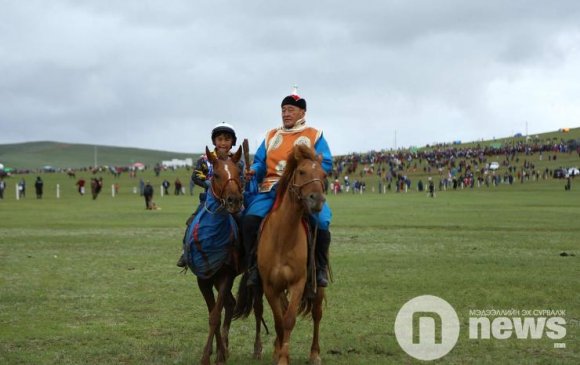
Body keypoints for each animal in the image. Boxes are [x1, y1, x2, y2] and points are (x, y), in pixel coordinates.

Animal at [182, 146, 244, 364]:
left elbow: (215, 315)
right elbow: (212, 314)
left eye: (239, 173)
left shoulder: (226, 275)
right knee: (230, 303)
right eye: (215, 174)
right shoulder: (203, 278)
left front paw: (214, 356)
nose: (234, 201)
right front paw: (212, 354)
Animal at [234, 144, 326, 364]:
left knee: (317, 314)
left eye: (324, 174)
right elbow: (278, 319)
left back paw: (314, 354)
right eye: (301, 172)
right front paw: (278, 353)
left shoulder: (298, 283)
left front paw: (284, 357)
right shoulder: (270, 286)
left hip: (318, 286)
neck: (284, 237)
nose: (317, 201)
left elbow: (289, 320)